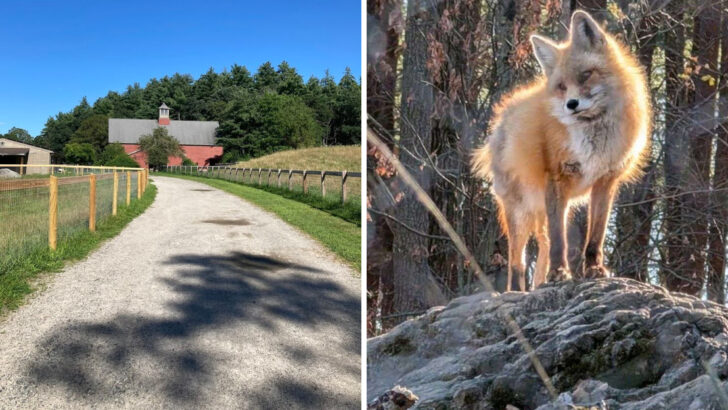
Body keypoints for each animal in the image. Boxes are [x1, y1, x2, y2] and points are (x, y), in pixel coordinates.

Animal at [471, 10, 651, 292]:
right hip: (519, 211)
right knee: (518, 261)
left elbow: (595, 237)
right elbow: (560, 242)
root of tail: (500, 119)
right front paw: (559, 273)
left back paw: (539, 282)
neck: (593, 137)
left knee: (542, 248)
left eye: (586, 75)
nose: (571, 104)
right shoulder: (557, 177)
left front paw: (594, 270)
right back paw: (517, 291)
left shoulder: (605, 181)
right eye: (561, 86)